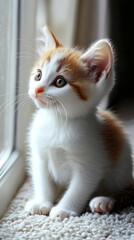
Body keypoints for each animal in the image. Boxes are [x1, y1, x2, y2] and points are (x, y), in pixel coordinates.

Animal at [24, 26, 133, 219]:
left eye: (60, 82)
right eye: (38, 75)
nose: (37, 89)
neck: (57, 121)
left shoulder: (90, 162)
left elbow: (78, 188)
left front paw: (63, 209)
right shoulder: (40, 154)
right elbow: (43, 179)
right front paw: (42, 202)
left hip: (122, 174)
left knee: (126, 191)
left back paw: (105, 201)